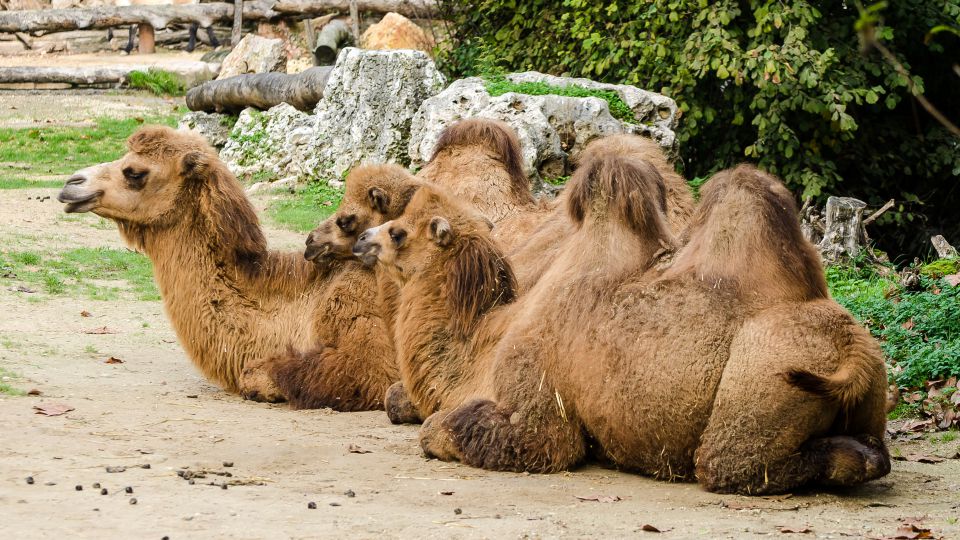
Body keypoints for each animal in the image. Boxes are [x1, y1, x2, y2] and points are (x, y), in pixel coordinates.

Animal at [354, 137, 892, 496]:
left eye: (399, 232)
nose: (361, 240)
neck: (482, 344)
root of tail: (854, 351)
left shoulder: (537, 414)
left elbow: (440, 430)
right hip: (871, 390)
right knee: (877, 452)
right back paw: (863, 452)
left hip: (760, 386)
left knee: (731, 464)